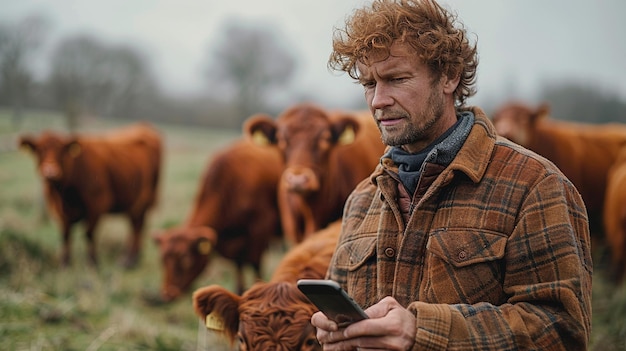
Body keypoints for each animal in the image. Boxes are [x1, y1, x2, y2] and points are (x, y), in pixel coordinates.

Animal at [18, 124, 161, 270]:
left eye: (61, 151)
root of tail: (143, 127)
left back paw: (129, 260)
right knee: (135, 225)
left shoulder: (96, 205)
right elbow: (66, 235)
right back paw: (132, 259)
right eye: (39, 150)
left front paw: (92, 263)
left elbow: (89, 234)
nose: (50, 171)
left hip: (143, 200)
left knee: (137, 226)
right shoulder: (59, 211)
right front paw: (65, 263)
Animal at [154, 139, 282, 302]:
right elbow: (239, 265)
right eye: (162, 260)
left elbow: (255, 264)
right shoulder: (236, 243)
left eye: (186, 259)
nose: (168, 293)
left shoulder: (260, 230)